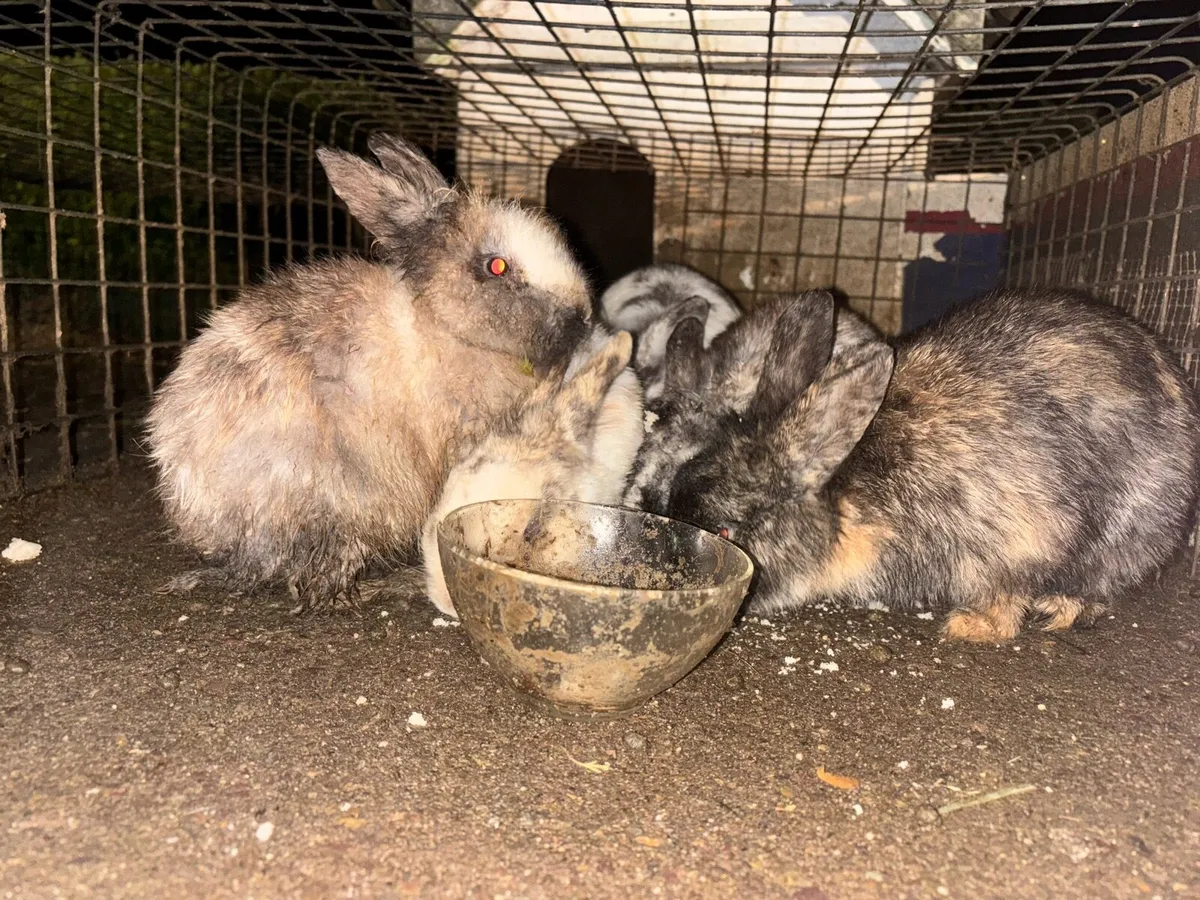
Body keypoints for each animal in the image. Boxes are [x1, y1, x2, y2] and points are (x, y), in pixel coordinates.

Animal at [659, 288, 1200, 643]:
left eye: (726, 533)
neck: (847, 501)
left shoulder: (1015, 542)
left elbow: (1006, 601)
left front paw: (970, 627)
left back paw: (1061, 607)